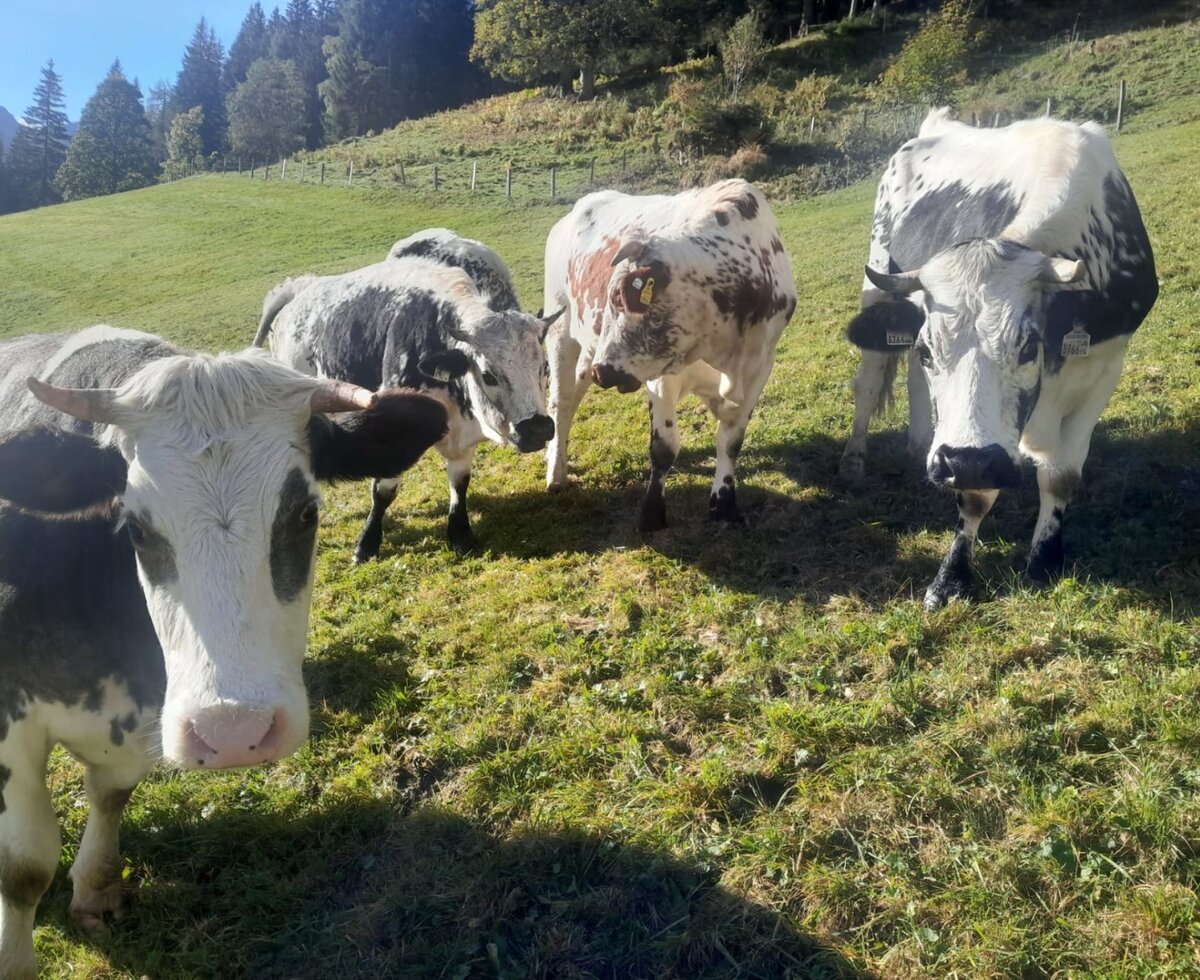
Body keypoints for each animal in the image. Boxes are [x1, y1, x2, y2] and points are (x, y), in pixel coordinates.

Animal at [0, 326, 447, 980]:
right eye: (135, 527)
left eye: (306, 513)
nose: (235, 733)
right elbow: (24, 867)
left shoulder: (141, 724)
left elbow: (109, 796)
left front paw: (96, 888)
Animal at [254, 256, 562, 558]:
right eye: (488, 375)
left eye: (545, 368)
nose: (538, 429)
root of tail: (300, 287)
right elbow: (384, 492)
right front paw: (367, 543)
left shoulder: (464, 439)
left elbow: (459, 484)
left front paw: (461, 534)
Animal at [542, 178, 797, 530]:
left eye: (621, 298)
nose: (604, 372)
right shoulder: (662, 377)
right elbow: (663, 448)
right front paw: (651, 513)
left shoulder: (759, 369)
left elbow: (731, 441)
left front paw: (724, 505)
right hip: (561, 331)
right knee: (562, 402)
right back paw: (556, 472)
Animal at [838, 109, 1158, 610]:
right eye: (929, 350)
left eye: (1026, 346)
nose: (962, 462)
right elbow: (974, 496)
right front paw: (951, 578)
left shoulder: (1106, 363)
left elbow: (1062, 476)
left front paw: (1045, 560)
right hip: (876, 285)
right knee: (871, 384)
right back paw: (854, 461)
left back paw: (916, 445)